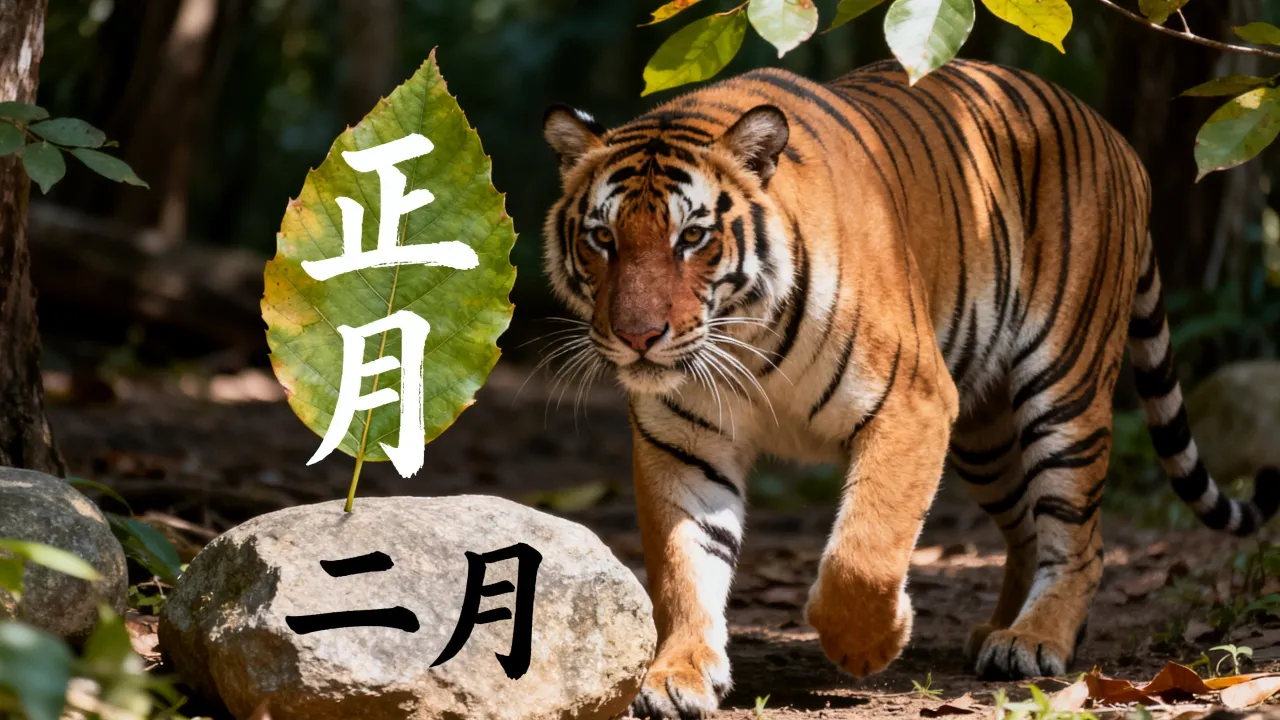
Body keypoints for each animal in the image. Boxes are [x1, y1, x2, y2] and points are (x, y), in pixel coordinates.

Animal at [539, 58, 1280, 719]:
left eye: (691, 237)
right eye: (602, 238)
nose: (638, 335)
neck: (745, 341)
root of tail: (1115, 138)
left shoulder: (910, 402)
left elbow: (863, 553)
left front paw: (868, 645)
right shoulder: (683, 440)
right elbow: (683, 565)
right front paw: (676, 676)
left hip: (1064, 389)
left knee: (1078, 535)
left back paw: (1035, 638)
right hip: (984, 436)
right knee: (1027, 526)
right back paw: (999, 631)